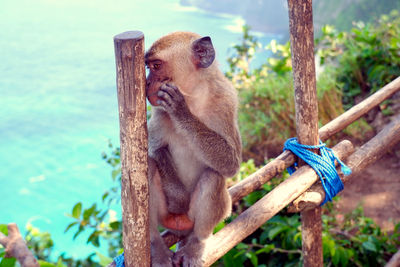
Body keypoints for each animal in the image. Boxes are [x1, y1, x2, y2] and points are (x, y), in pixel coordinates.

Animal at [146, 31, 242, 267]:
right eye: (148, 66)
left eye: (156, 65)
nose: (147, 82)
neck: (194, 97)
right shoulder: (158, 110)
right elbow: (155, 150)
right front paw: (178, 198)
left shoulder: (226, 102)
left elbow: (231, 163)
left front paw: (181, 111)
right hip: (166, 217)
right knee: (149, 167)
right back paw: (156, 246)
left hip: (209, 215)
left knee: (213, 176)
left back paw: (196, 244)